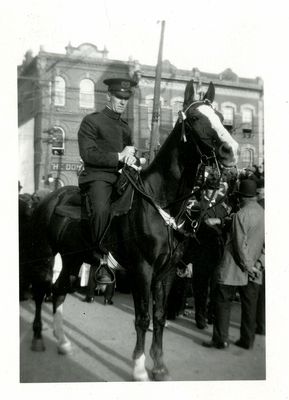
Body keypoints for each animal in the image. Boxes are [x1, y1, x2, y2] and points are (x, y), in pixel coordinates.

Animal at [28, 80, 237, 382]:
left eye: (220, 117)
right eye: (196, 118)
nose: (230, 149)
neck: (159, 200)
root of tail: (48, 197)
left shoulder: (167, 271)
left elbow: (159, 316)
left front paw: (159, 365)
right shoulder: (142, 269)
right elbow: (142, 318)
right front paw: (139, 367)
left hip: (72, 258)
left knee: (58, 291)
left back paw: (64, 341)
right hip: (46, 255)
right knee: (42, 289)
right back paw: (37, 337)